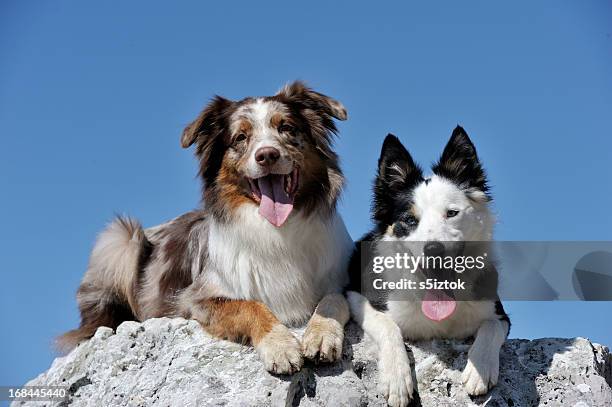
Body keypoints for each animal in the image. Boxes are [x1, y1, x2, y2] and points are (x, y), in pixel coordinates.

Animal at [61, 82, 354, 376]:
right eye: (240, 137)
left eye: (287, 128)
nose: (267, 155)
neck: (275, 231)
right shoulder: (195, 299)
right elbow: (250, 306)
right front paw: (280, 345)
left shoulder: (340, 278)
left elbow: (334, 299)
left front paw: (322, 334)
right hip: (120, 239)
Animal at [346, 126, 510, 404]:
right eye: (410, 220)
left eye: (452, 213)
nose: (433, 250)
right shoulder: (356, 295)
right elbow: (387, 325)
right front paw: (397, 378)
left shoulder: (499, 313)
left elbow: (491, 325)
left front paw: (479, 369)